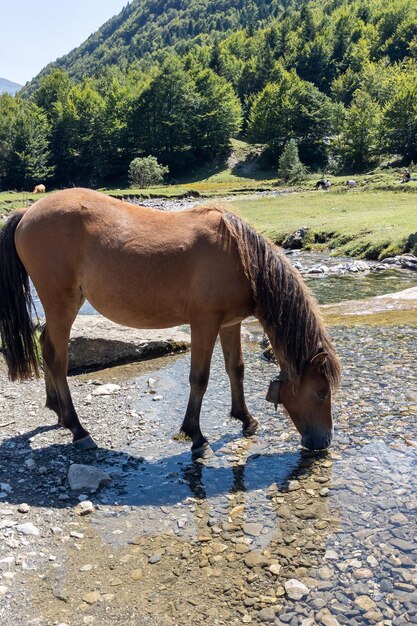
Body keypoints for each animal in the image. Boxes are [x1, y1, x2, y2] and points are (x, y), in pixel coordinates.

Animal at [0, 185, 340, 454]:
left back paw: (56, 410)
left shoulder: (230, 323)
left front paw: (245, 419)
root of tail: (28, 212)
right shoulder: (204, 323)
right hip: (62, 305)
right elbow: (199, 378)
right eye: (321, 392)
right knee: (56, 358)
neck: (240, 257)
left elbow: (236, 370)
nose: (322, 442)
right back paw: (77, 429)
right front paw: (196, 435)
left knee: (45, 346)